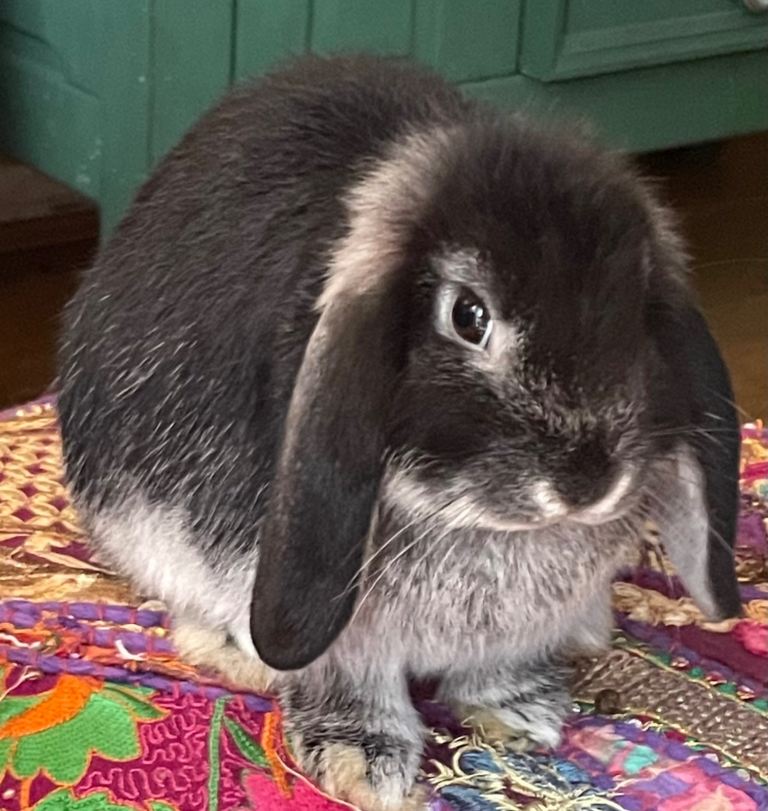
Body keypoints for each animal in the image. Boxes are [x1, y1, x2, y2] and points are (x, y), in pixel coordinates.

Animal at [57, 54, 741, 810]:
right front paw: (361, 761)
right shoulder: (323, 601)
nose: (587, 482)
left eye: (636, 313)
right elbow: (350, 676)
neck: (480, 525)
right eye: (468, 315)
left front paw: (517, 712)